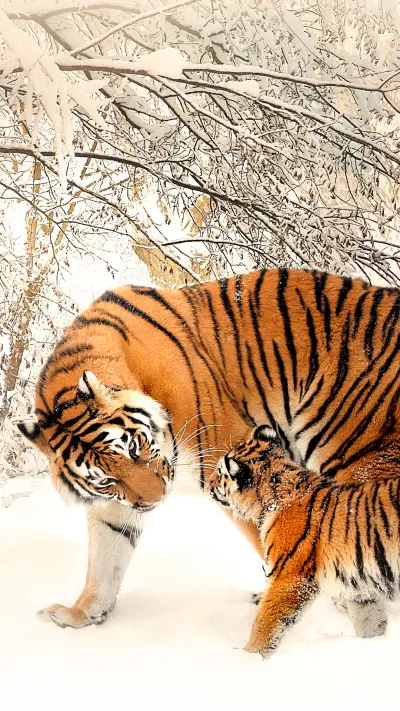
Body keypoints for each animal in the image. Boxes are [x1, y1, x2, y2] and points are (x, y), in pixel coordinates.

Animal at [18, 268, 400, 630]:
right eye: (107, 481)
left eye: (135, 448)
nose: (157, 500)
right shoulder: (116, 504)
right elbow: (105, 556)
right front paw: (80, 613)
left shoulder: (231, 460)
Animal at [208, 425, 400, 658]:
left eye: (220, 473)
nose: (207, 483)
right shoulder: (359, 588)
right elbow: (370, 621)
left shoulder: (290, 578)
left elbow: (265, 623)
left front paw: (248, 656)